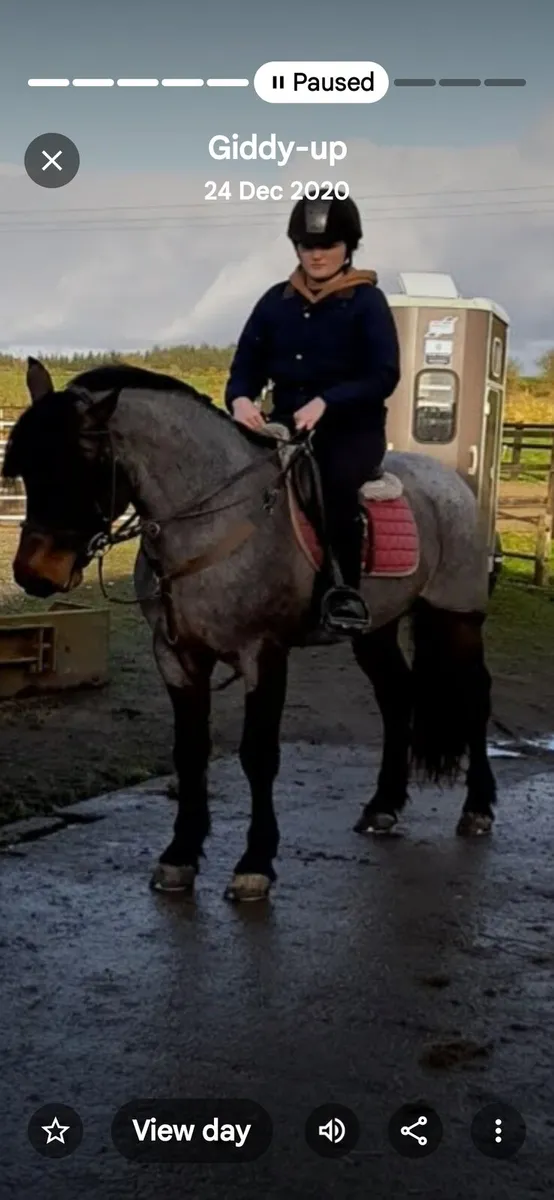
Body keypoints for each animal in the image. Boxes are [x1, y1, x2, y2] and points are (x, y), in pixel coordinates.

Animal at [2, 357, 497, 901]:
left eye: (78, 468)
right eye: (26, 469)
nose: (34, 575)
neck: (214, 523)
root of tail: (451, 482)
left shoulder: (263, 653)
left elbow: (258, 755)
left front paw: (255, 862)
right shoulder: (176, 656)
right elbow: (190, 752)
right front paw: (180, 855)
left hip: (457, 617)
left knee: (475, 698)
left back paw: (478, 806)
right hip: (376, 630)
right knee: (396, 697)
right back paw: (383, 805)